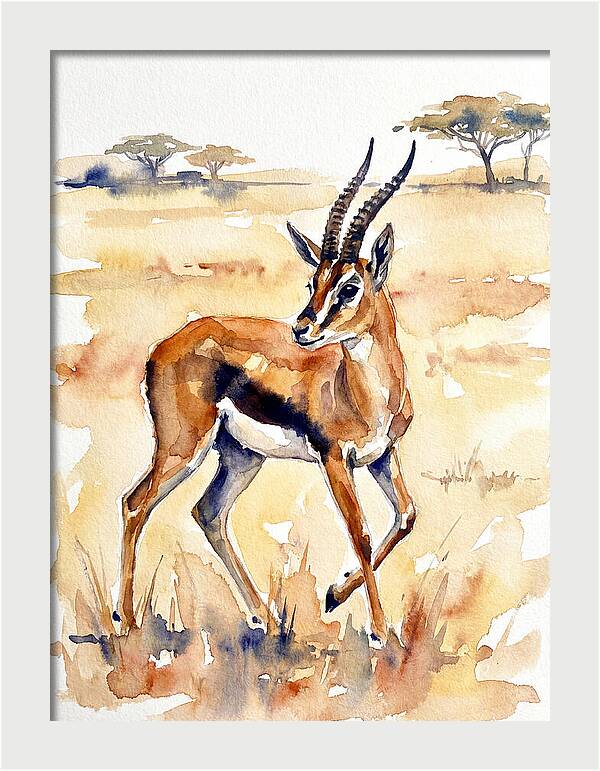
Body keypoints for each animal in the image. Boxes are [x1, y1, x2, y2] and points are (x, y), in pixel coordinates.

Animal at [118, 139, 417, 642]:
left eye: (349, 286)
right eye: (313, 281)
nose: (302, 329)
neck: (366, 394)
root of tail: (163, 345)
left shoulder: (381, 455)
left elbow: (406, 516)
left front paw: (334, 595)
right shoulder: (335, 459)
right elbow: (360, 532)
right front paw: (379, 630)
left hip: (241, 455)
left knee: (209, 513)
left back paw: (268, 618)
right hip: (183, 446)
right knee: (135, 504)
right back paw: (125, 621)